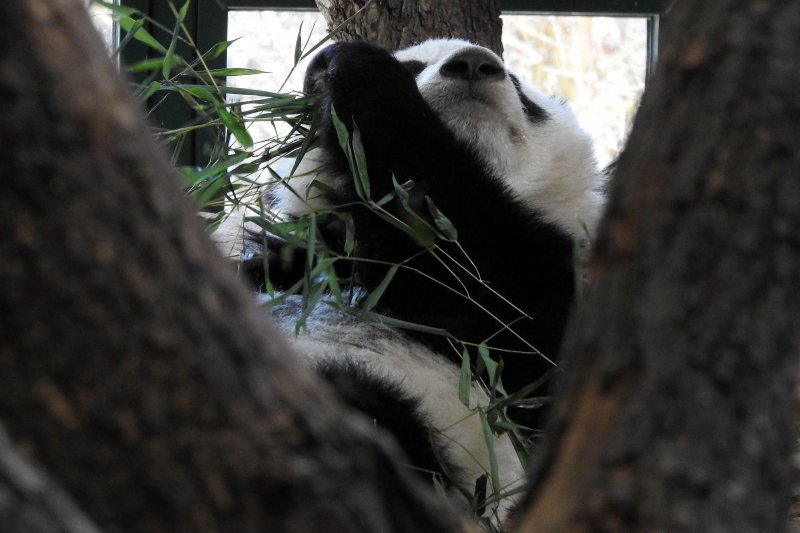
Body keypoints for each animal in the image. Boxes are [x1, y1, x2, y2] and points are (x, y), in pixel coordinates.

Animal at [217, 39, 600, 520]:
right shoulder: (308, 253)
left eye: (517, 86)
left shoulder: (554, 284)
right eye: (417, 65)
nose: (474, 64)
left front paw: (358, 67)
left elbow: (492, 283)